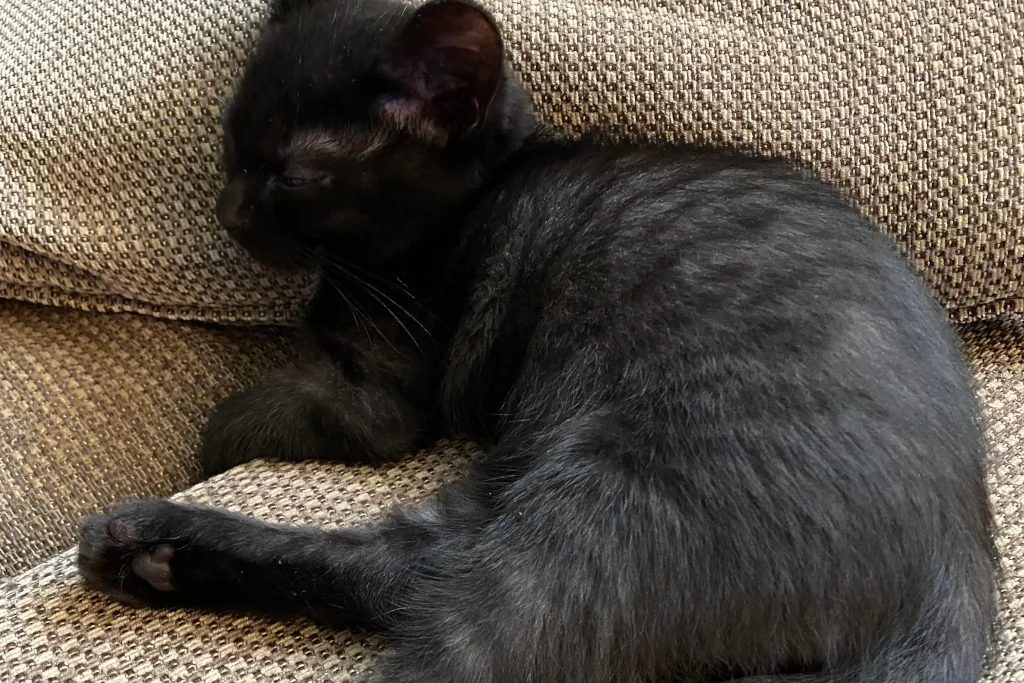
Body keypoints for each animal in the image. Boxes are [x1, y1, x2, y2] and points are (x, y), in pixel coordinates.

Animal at [75, 2, 995, 679]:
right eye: (231, 139)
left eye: (294, 174)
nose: (227, 210)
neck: (474, 199)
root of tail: (957, 562)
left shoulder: (383, 392)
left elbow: (256, 415)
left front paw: (214, 431)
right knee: (412, 565)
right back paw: (147, 553)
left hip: (589, 520)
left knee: (430, 596)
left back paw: (150, 538)